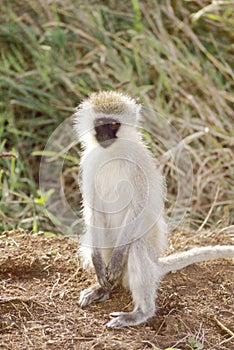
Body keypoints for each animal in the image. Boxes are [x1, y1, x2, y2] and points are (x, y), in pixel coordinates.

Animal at [74, 91, 234, 330]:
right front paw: (97, 263)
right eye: (101, 124)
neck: (113, 152)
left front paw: (118, 258)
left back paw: (140, 312)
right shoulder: (89, 162)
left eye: (114, 124)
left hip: (145, 253)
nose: (105, 137)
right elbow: (92, 209)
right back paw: (103, 287)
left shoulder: (138, 164)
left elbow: (139, 206)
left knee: (137, 247)